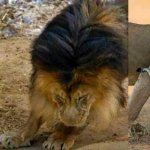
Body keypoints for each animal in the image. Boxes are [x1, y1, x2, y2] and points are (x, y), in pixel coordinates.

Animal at [1, 0, 127, 149]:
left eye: (82, 97)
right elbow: (36, 113)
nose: (69, 122)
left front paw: (60, 137)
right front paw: (17, 137)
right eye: (59, 97)